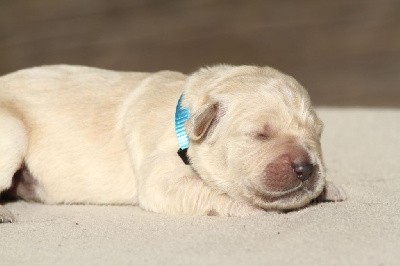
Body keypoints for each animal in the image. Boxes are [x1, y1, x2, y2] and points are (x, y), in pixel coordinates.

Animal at [0, 65, 346, 222]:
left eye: (317, 134)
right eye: (260, 134)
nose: (306, 167)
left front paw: (328, 187)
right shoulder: (160, 176)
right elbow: (211, 192)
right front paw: (252, 209)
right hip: (13, 132)